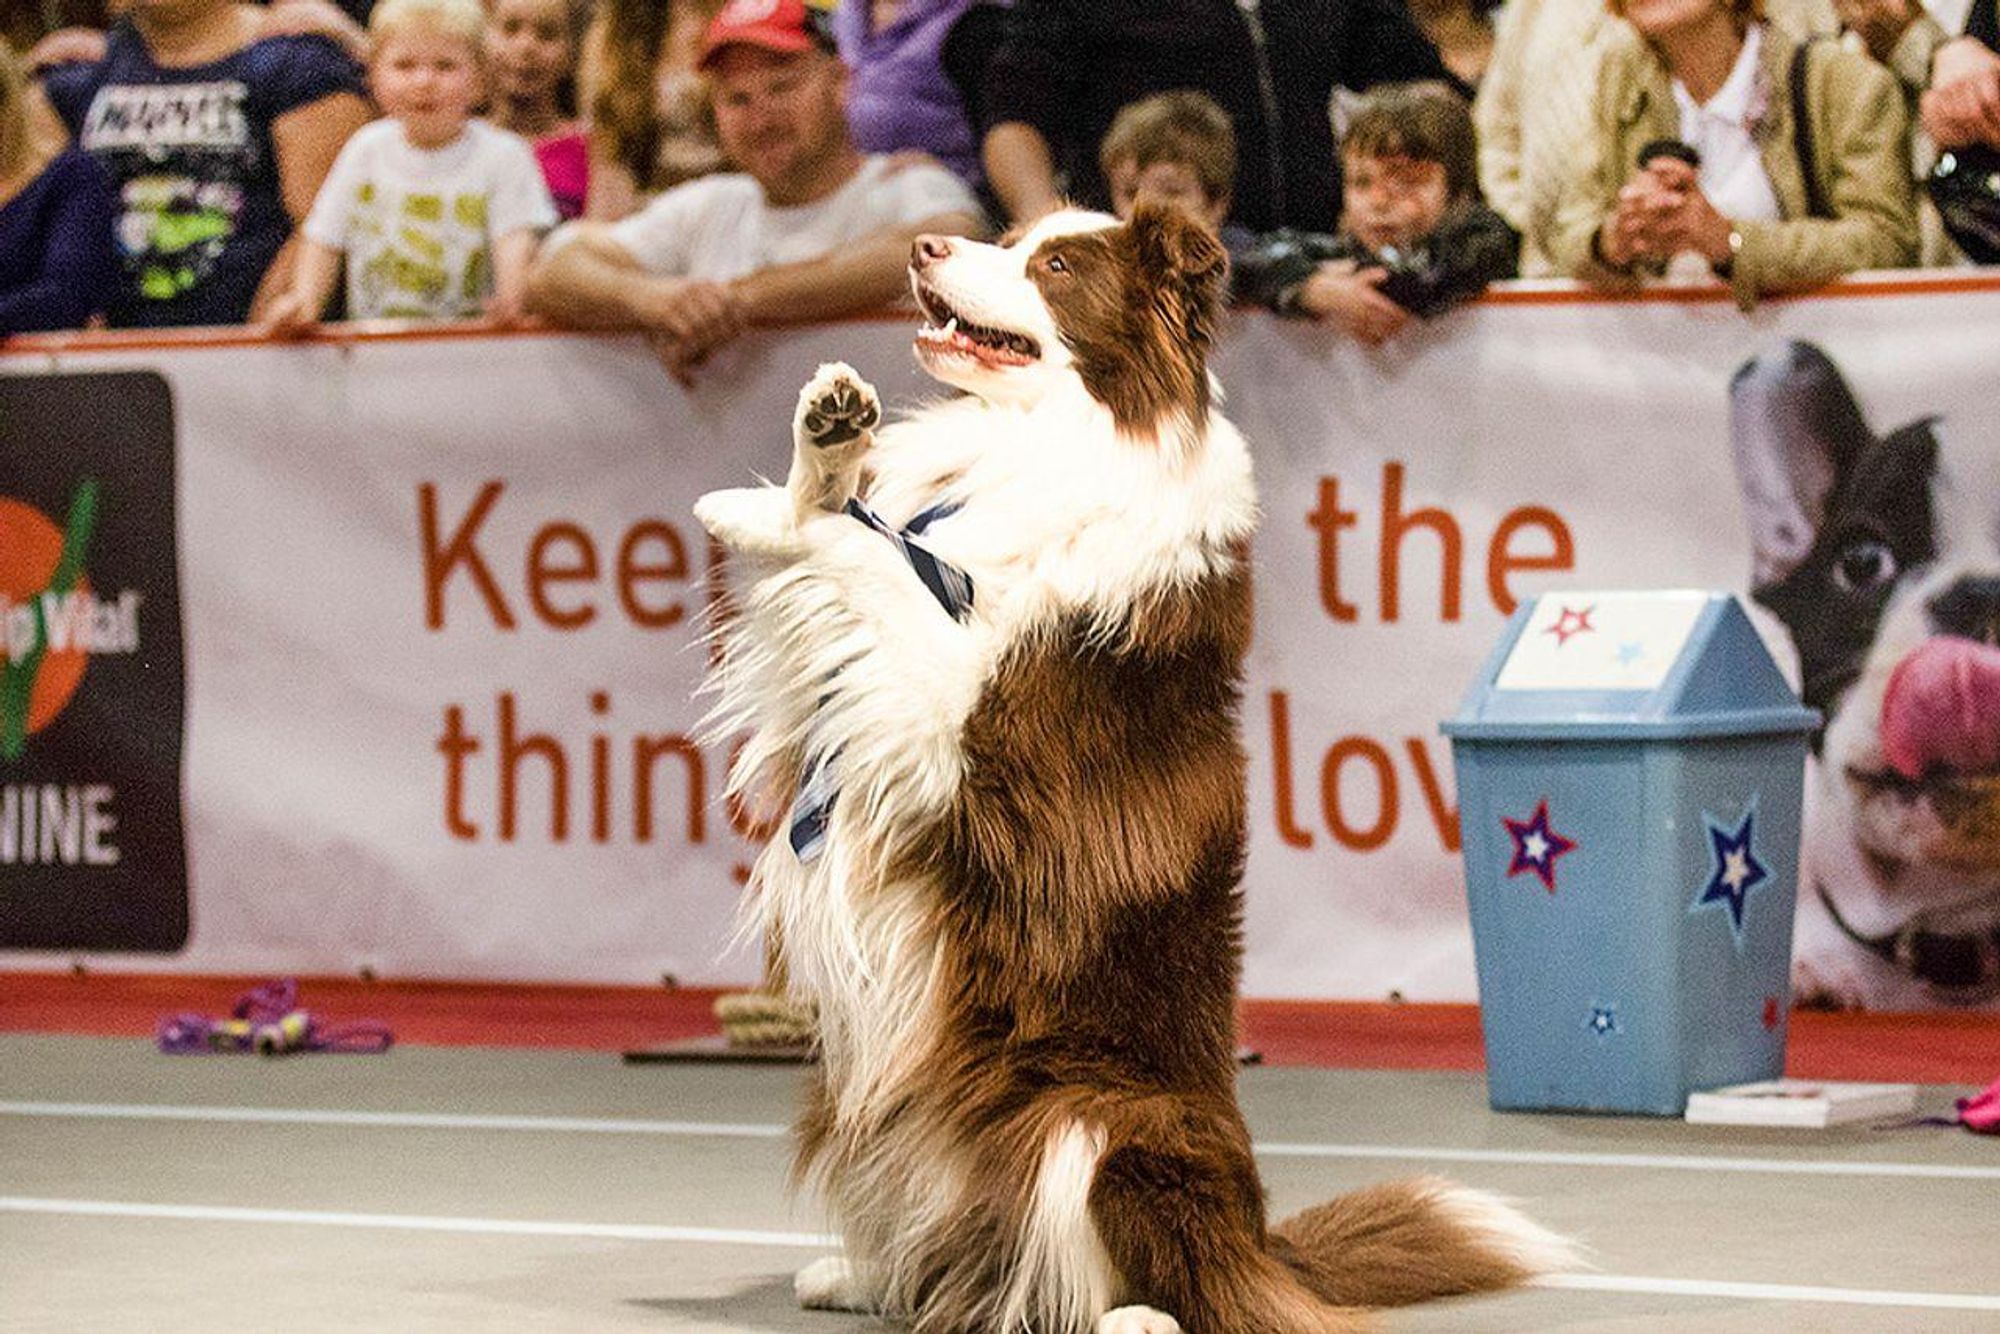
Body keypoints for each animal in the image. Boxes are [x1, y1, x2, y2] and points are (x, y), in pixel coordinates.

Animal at [696, 206, 1568, 1334]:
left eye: (1058, 266)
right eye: (1015, 235)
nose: (925, 244)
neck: (1052, 446)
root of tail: (1259, 1240)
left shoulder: (962, 738)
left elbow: (882, 559)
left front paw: (783, 506)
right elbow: (863, 527)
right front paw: (814, 453)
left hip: (1096, 1121)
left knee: (1148, 1276)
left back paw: (1127, 1314)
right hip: (863, 1095)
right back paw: (868, 1277)